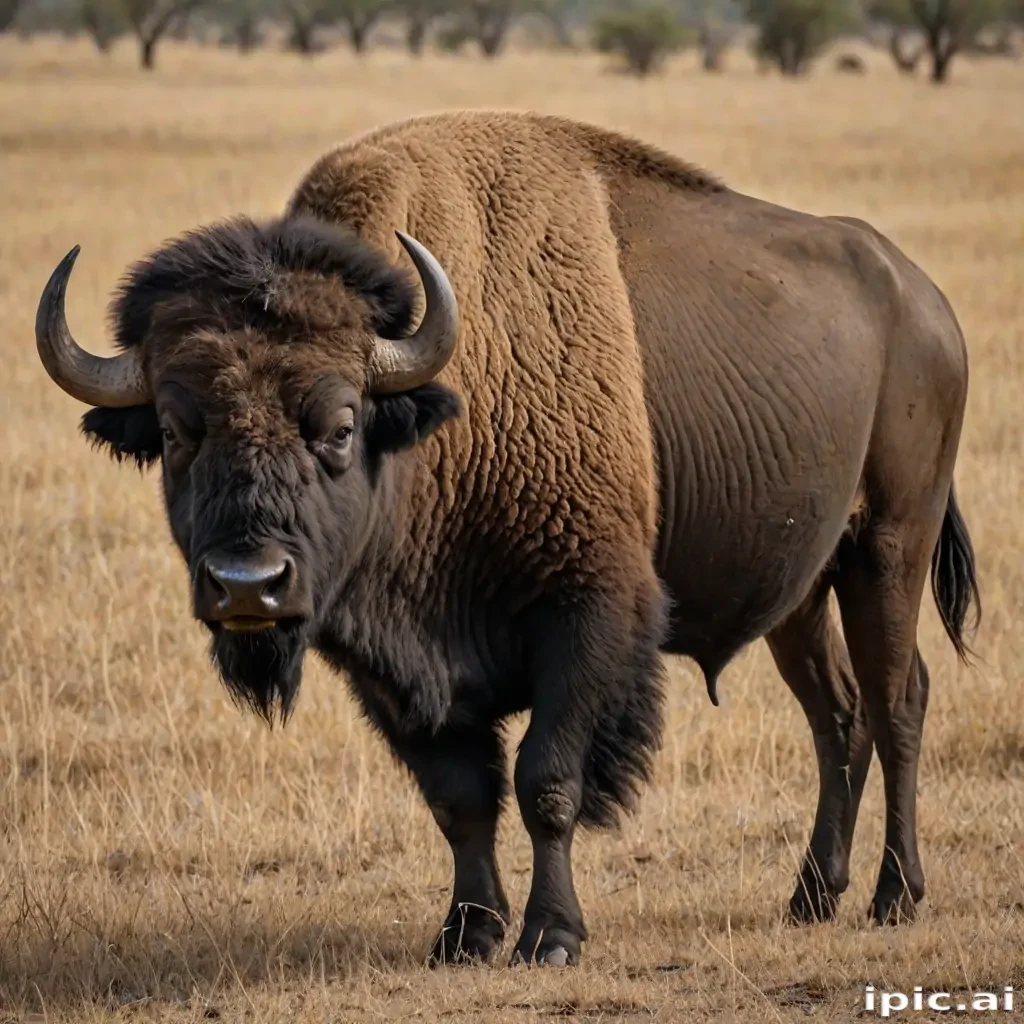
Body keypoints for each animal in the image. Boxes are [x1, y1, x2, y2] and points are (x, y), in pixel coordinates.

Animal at [34, 110, 980, 966]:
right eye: (176, 430)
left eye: (339, 425)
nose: (247, 585)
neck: (439, 419)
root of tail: (927, 302)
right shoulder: (393, 671)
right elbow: (462, 799)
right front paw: (465, 935)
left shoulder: (589, 617)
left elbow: (545, 782)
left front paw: (551, 938)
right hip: (803, 590)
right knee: (837, 714)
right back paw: (811, 896)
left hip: (889, 546)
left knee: (898, 700)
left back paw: (895, 896)